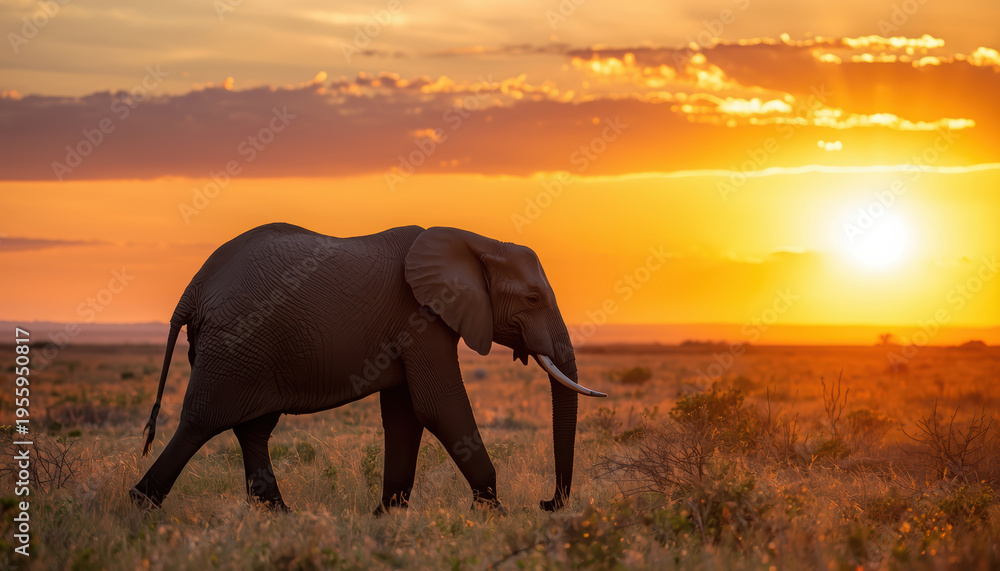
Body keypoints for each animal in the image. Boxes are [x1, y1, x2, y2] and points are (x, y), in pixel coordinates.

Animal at [131, 223, 606, 514]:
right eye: (532, 299)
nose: (546, 504)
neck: (477, 242)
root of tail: (193, 288)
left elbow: (406, 415)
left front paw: (386, 515)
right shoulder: (421, 318)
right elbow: (439, 406)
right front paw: (494, 514)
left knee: (253, 428)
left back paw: (281, 516)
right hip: (237, 341)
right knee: (202, 421)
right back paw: (141, 505)